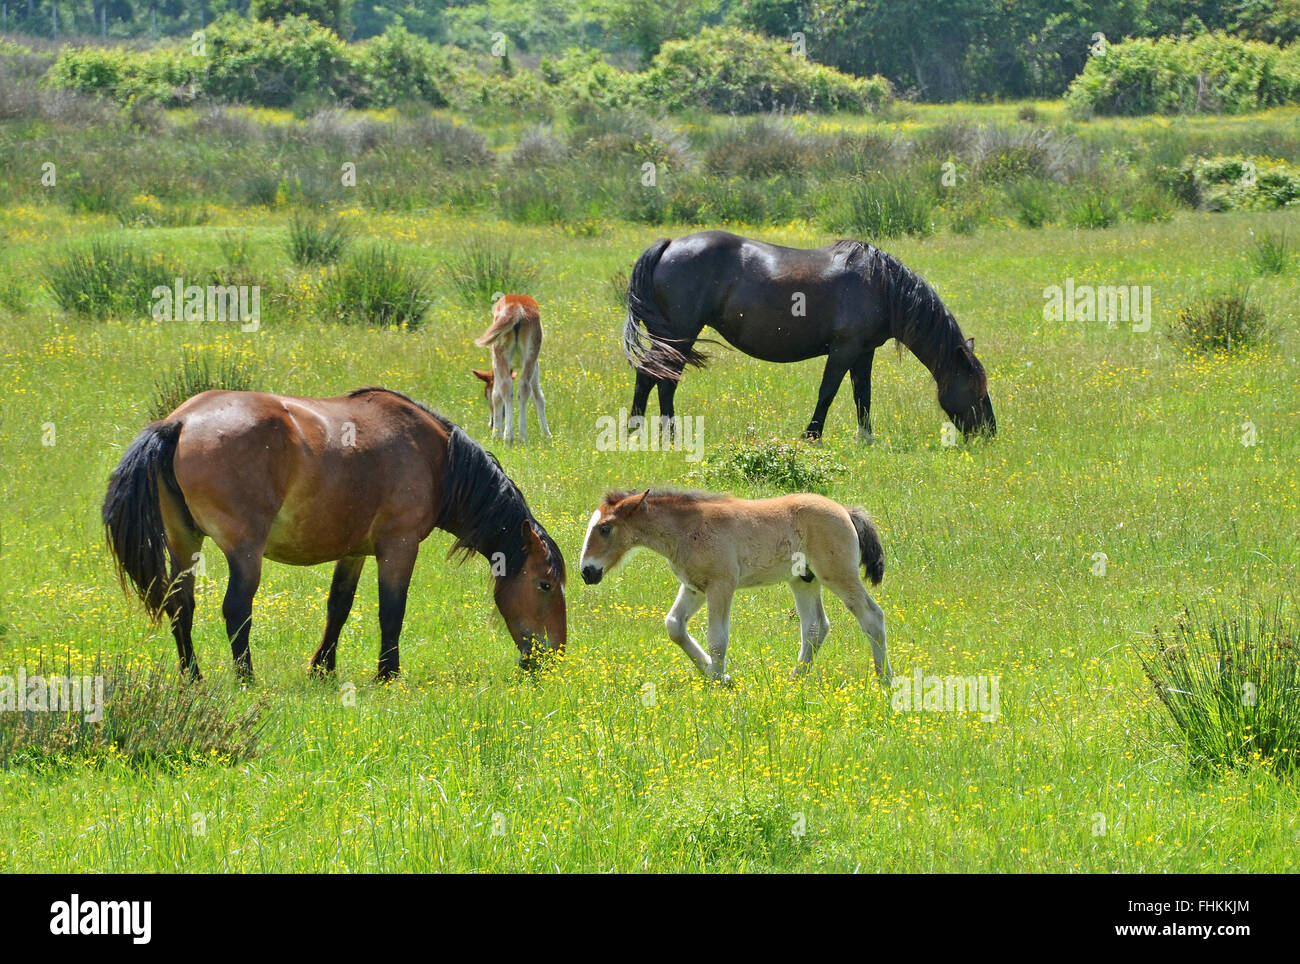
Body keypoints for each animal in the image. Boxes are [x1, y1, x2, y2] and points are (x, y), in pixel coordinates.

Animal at [98, 389, 566, 685]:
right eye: (544, 584)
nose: (554, 656)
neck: (439, 460)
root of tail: (178, 421)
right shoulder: (398, 546)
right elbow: (392, 611)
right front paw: (388, 674)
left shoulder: (354, 551)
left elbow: (338, 607)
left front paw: (323, 668)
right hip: (244, 551)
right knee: (236, 609)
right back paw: (246, 678)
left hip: (184, 542)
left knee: (181, 604)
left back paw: (192, 677)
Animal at [475, 294, 551, 444]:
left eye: (485, 395)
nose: (490, 424)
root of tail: (517, 306)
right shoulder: (536, 364)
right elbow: (537, 395)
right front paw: (547, 434)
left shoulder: (496, 363)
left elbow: (496, 394)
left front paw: (496, 434)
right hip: (531, 353)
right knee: (523, 387)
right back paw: (521, 436)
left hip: (500, 351)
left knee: (507, 387)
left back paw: (508, 437)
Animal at [582, 491, 894, 685]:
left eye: (605, 528)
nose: (587, 571)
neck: (688, 530)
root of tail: (845, 510)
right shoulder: (694, 587)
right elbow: (674, 626)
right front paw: (715, 673)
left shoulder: (722, 585)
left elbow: (717, 639)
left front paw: (719, 682)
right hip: (804, 580)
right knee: (815, 627)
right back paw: (797, 679)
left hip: (838, 574)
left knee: (871, 616)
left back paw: (885, 679)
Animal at [624, 232, 998, 444]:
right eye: (976, 389)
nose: (990, 435)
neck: (881, 285)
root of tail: (669, 245)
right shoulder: (844, 349)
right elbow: (828, 392)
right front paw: (812, 436)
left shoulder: (864, 353)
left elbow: (863, 396)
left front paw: (866, 439)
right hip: (680, 335)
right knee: (665, 381)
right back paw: (671, 436)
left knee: (648, 375)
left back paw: (634, 431)